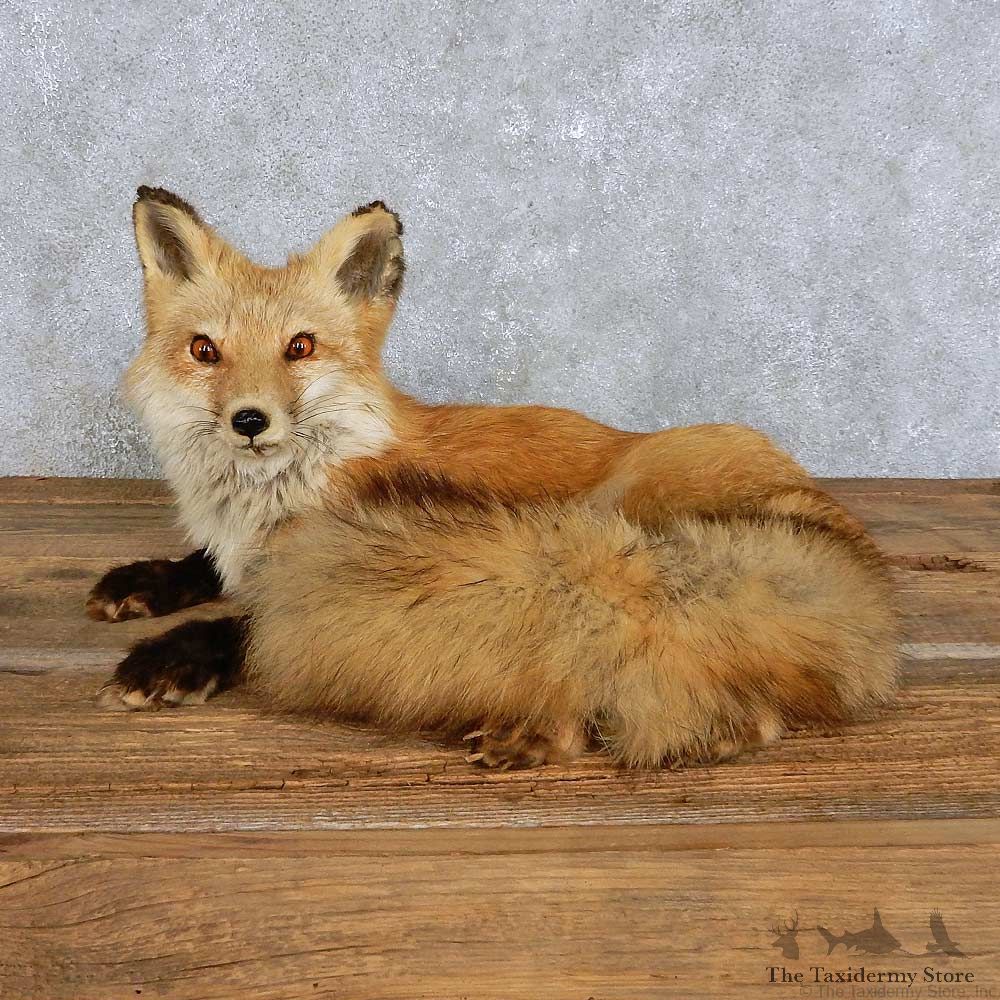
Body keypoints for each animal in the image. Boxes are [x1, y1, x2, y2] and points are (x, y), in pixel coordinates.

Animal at [89, 185, 898, 769]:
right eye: (205, 350)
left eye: (300, 347)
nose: (250, 421)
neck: (274, 496)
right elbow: (205, 567)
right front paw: (144, 581)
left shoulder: (311, 562)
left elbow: (251, 618)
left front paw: (173, 659)